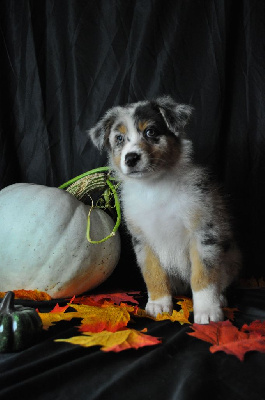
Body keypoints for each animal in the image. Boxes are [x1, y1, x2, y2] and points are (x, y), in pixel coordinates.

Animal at [87, 95, 240, 324]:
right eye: (119, 139)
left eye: (151, 132)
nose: (131, 158)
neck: (155, 186)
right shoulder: (143, 239)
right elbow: (153, 273)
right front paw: (159, 304)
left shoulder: (203, 232)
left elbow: (203, 274)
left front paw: (207, 311)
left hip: (232, 257)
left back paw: (219, 298)